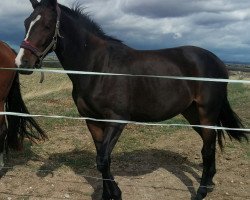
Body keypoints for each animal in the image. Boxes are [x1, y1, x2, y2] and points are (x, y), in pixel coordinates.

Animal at [15, 0, 248, 199]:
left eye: (47, 26)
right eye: (26, 23)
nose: (22, 63)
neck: (98, 67)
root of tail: (217, 61)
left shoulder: (117, 120)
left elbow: (103, 159)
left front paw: (116, 194)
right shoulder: (92, 120)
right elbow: (102, 158)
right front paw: (108, 194)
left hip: (207, 112)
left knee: (207, 149)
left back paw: (201, 192)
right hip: (192, 113)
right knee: (210, 143)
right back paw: (210, 182)